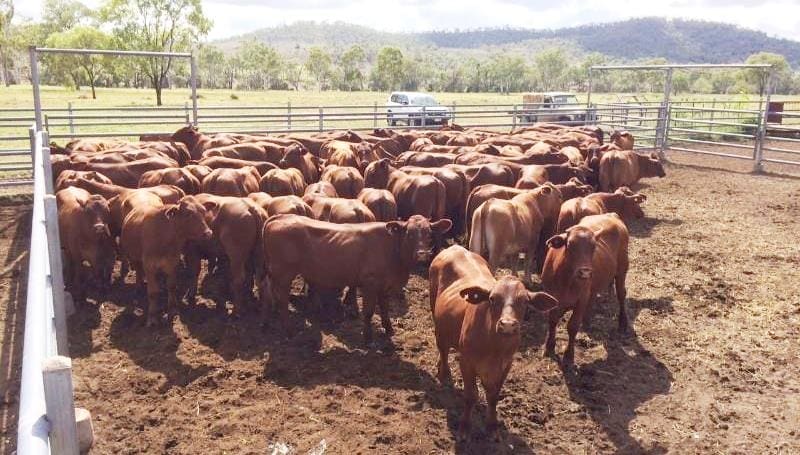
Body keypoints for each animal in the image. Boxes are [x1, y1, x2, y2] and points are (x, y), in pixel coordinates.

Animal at [118, 194, 212, 326]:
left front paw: (172, 310)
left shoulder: (172, 263)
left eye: (204, 211)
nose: (208, 233)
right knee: (138, 271)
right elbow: (152, 292)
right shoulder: (149, 266)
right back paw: (138, 287)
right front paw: (152, 316)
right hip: (134, 257)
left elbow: (171, 286)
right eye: (188, 213)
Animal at [260, 214, 450, 342]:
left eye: (429, 234)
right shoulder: (370, 283)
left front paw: (389, 329)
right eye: (409, 234)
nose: (423, 255)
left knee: (267, 293)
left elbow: (385, 308)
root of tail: (280, 217)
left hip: (273, 273)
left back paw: (266, 324)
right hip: (283, 273)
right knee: (281, 300)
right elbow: (369, 311)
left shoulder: (384, 285)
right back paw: (288, 330)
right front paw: (367, 337)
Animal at [432, 246, 556, 442]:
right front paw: (465, 427)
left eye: (525, 301)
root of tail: (456, 247)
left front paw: (492, 426)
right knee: (442, 349)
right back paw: (444, 372)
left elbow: (493, 396)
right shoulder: (466, 362)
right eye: (492, 298)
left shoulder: (506, 365)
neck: (494, 348)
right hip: (436, 318)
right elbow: (471, 395)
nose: (508, 325)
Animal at [540, 214, 628, 366]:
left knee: (621, 295)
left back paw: (623, 322)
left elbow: (572, 326)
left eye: (593, 247)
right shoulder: (552, 297)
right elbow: (552, 320)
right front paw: (549, 346)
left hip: (622, 271)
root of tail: (611, 215)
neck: (566, 280)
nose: (585, 272)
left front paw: (569, 355)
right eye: (570, 245)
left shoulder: (581, 300)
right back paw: (587, 322)